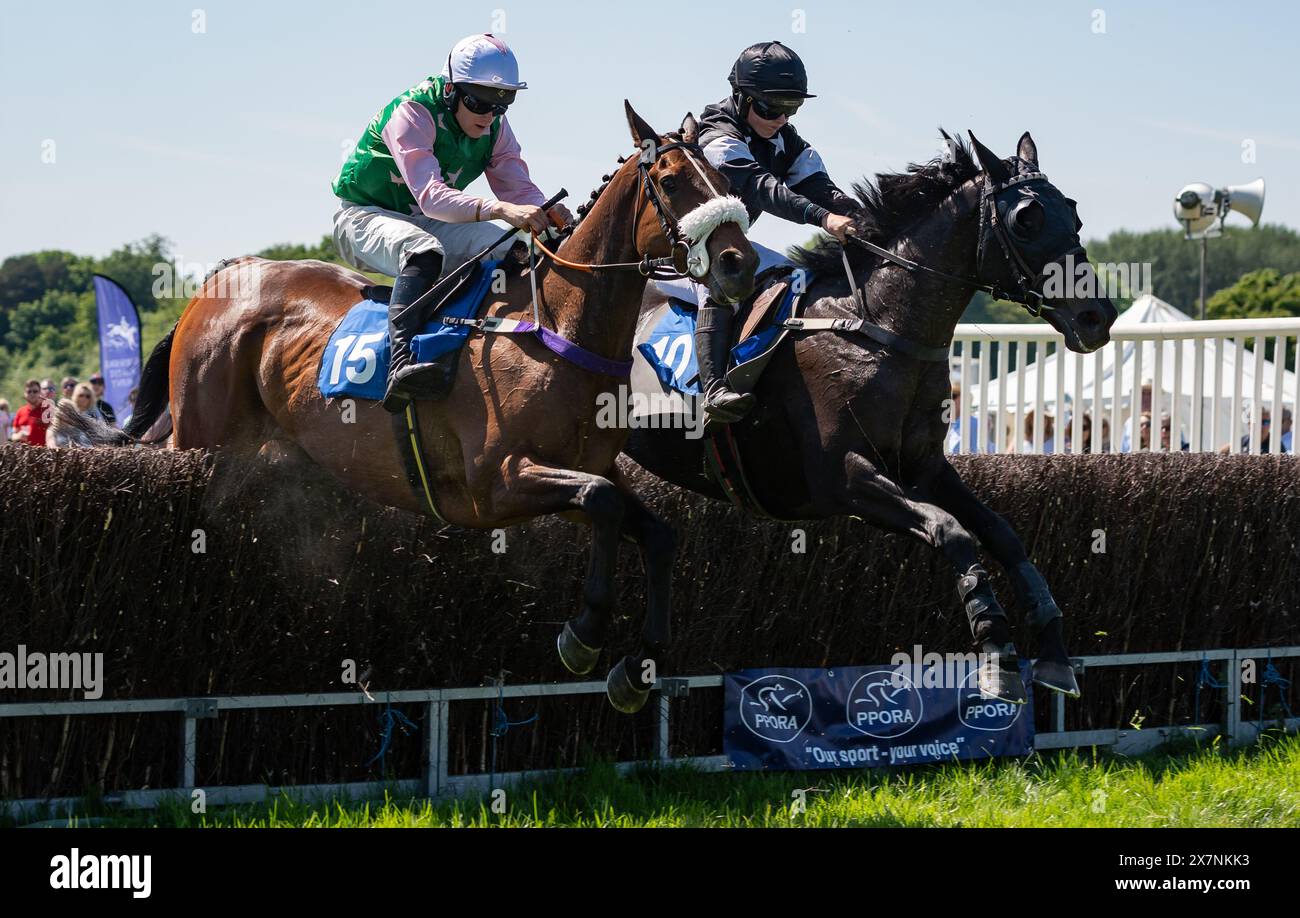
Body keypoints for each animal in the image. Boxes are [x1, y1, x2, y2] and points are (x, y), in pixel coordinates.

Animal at [73, 104, 759, 712]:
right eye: (670, 181)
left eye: (727, 181)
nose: (740, 264)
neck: (556, 328)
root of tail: (221, 278)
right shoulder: (498, 482)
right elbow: (605, 504)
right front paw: (583, 636)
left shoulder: (587, 467)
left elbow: (654, 531)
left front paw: (638, 669)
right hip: (196, 433)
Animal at [618, 130, 1118, 702]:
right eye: (1026, 219)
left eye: (1072, 212)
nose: (1097, 317)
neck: (878, 326)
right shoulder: (843, 479)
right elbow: (952, 532)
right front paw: (997, 652)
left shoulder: (925, 468)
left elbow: (1000, 531)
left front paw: (1053, 651)